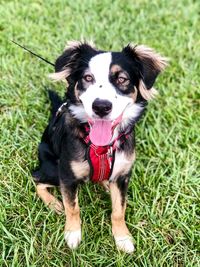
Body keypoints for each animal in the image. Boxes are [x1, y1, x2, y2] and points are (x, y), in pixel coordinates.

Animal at [32, 41, 167, 253]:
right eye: (88, 78)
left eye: (122, 79)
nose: (101, 107)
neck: (101, 145)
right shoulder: (67, 175)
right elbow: (72, 207)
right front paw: (72, 233)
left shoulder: (122, 176)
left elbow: (119, 210)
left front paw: (122, 238)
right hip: (53, 170)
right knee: (36, 178)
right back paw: (53, 202)